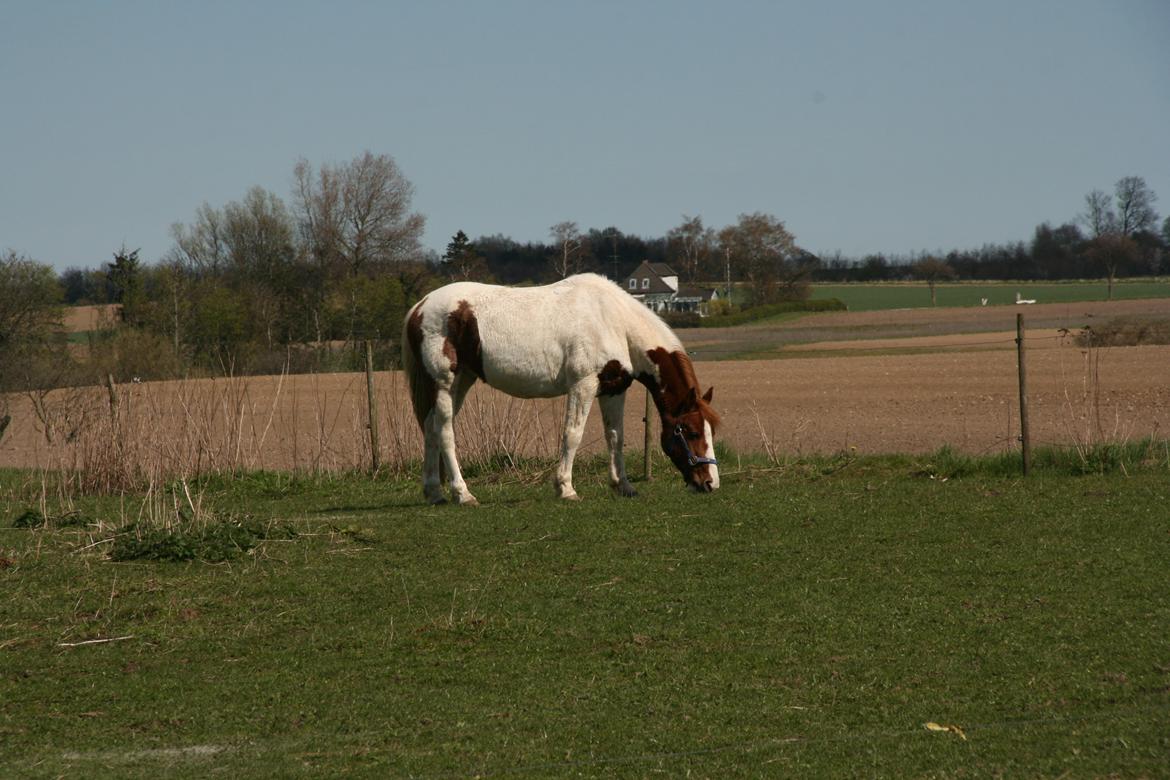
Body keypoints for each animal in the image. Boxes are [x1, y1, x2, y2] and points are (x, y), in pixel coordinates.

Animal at [404, 274, 720, 507]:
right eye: (691, 432)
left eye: (710, 431)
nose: (710, 483)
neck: (613, 321)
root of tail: (420, 307)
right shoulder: (584, 385)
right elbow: (572, 435)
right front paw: (565, 488)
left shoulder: (613, 389)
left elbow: (615, 438)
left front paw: (623, 486)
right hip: (445, 383)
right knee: (444, 431)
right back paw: (463, 493)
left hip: (462, 381)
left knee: (430, 427)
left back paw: (434, 492)